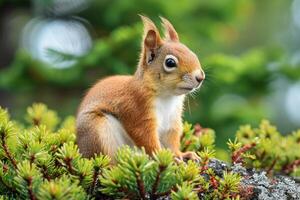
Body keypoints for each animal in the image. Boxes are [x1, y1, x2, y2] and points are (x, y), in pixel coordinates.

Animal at [76, 16, 205, 162]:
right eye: (170, 62)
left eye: (193, 54)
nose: (200, 77)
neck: (167, 96)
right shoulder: (137, 109)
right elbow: (145, 137)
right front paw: (166, 158)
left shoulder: (172, 120)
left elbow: (171, 141)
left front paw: (182, 154)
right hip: (98, 131)